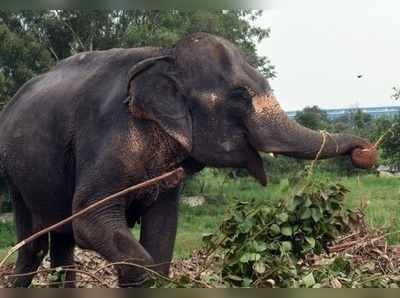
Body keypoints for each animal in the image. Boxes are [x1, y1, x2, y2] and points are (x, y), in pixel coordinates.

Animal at [0, 32, 372, 286]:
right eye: (239, 96)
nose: (365, 151)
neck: (165, 55)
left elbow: (163, 233)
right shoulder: (106, 136)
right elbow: (92, 220)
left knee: (61, 243)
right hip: (15, 174)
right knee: (34, 244)